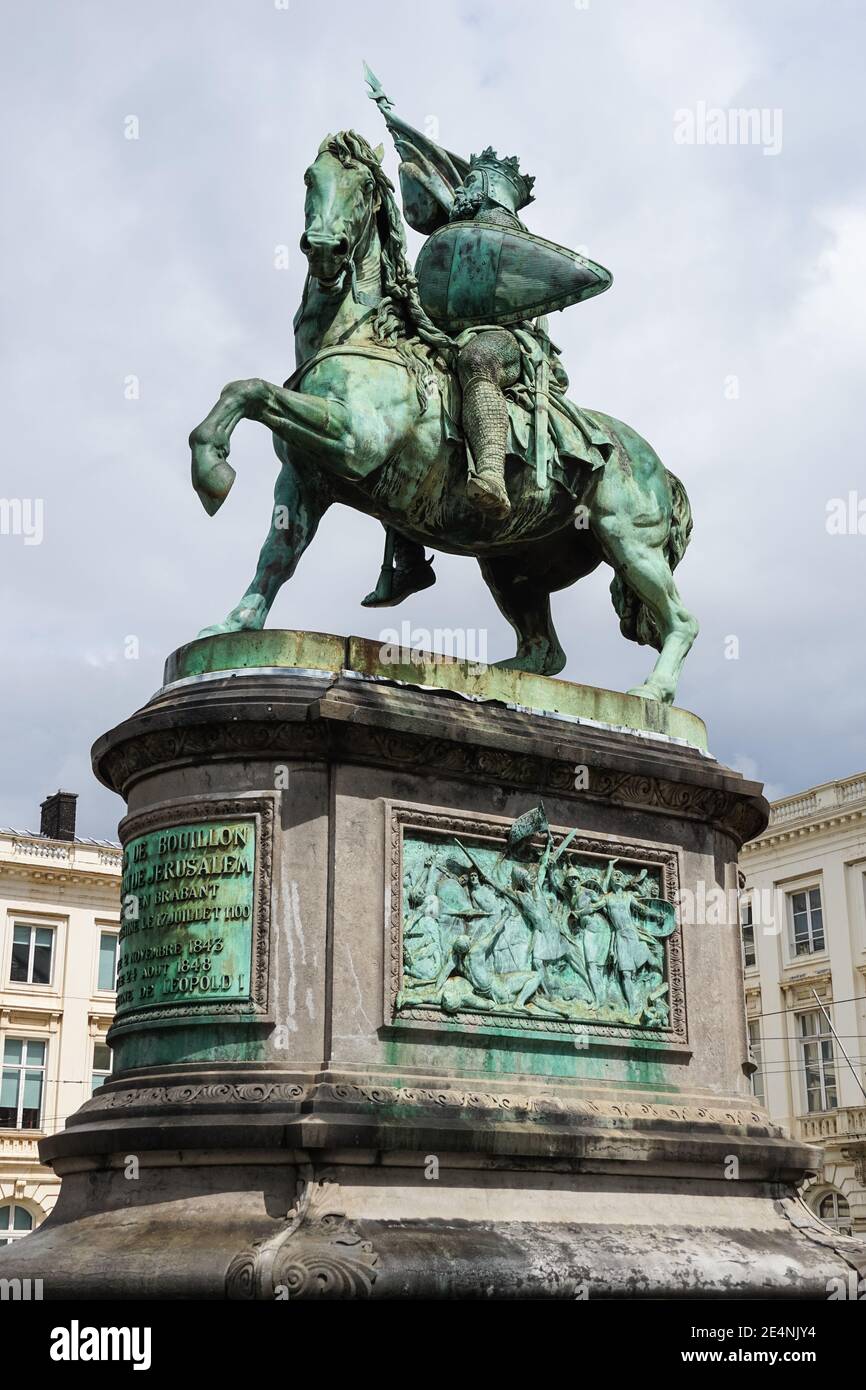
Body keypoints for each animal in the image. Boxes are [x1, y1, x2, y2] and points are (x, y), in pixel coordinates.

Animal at [187, 131, 697, 706]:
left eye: (365, 186)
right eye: (309, 177)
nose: (323, 248)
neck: (362, 334)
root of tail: (657, 465)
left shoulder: (354, 441)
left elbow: (250, 391)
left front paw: (211, 472)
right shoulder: (303, 477)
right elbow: (277, 554)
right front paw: (234, 623)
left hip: (628, 541)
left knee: (680, 620)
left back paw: (652, 692)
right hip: (511, 563)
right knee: (544, 653)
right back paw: (480, 676)